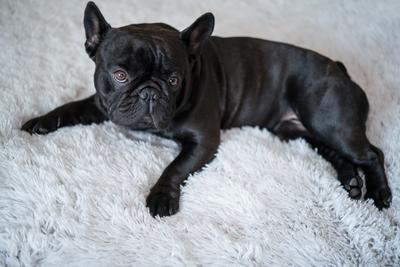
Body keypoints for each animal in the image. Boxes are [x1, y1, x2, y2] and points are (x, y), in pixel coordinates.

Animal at [20, 1, 392, 218]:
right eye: (120, 74)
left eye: (173, 79)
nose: (149, 93)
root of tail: (340, 69)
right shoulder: (102, 103)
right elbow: (70, 107)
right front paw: (40, 121)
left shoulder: (203, 142)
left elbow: (174, 168)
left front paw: (161, 197)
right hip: (300, 132)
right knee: (337, 153)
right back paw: (351, 182)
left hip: (328, 120)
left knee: (372, 153)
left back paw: (379, 193)